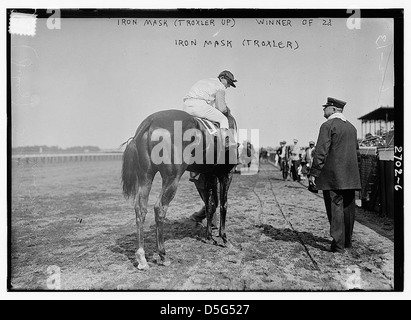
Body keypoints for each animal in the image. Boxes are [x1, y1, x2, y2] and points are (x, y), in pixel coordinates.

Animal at [121, 108, 238, 270]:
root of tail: (150, 122)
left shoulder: (208, 176)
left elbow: (210, 205)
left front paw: (209, 237)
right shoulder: (226, 175)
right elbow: (223, 205)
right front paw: (225, 239)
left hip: (146, 176)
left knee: (140, 208)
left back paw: (141, 257)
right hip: (172, 178)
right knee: (159, 208)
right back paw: (163, 255)